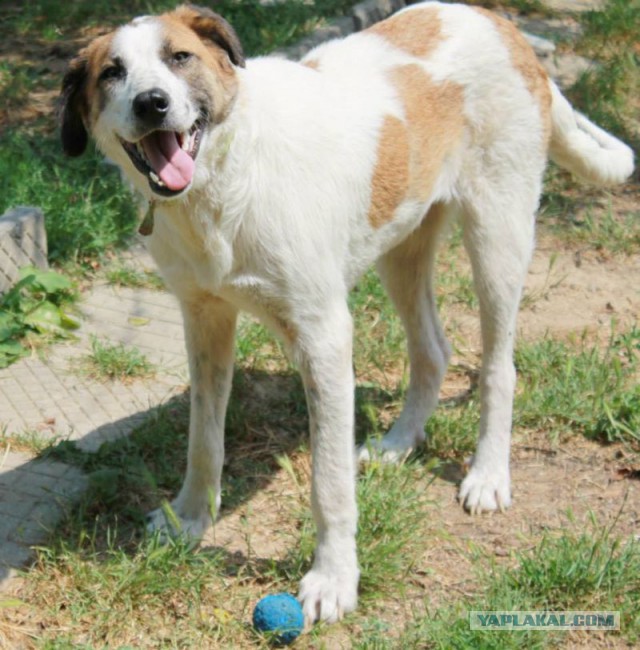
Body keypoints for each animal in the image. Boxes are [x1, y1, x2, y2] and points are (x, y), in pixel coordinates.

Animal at [61, 1, 636, 624]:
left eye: (180, 57)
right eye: (112, 73)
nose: (152, 103)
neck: (224, 181)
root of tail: (498, 24)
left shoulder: (324, 339)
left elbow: (329, 483)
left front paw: (334, 579)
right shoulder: (204, 319)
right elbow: (203, 439)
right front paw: (189, 517)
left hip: (498, 234)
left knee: (498, 367)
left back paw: (487, 474)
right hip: (403, 248)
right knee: (433, 352)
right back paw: (398, 445)